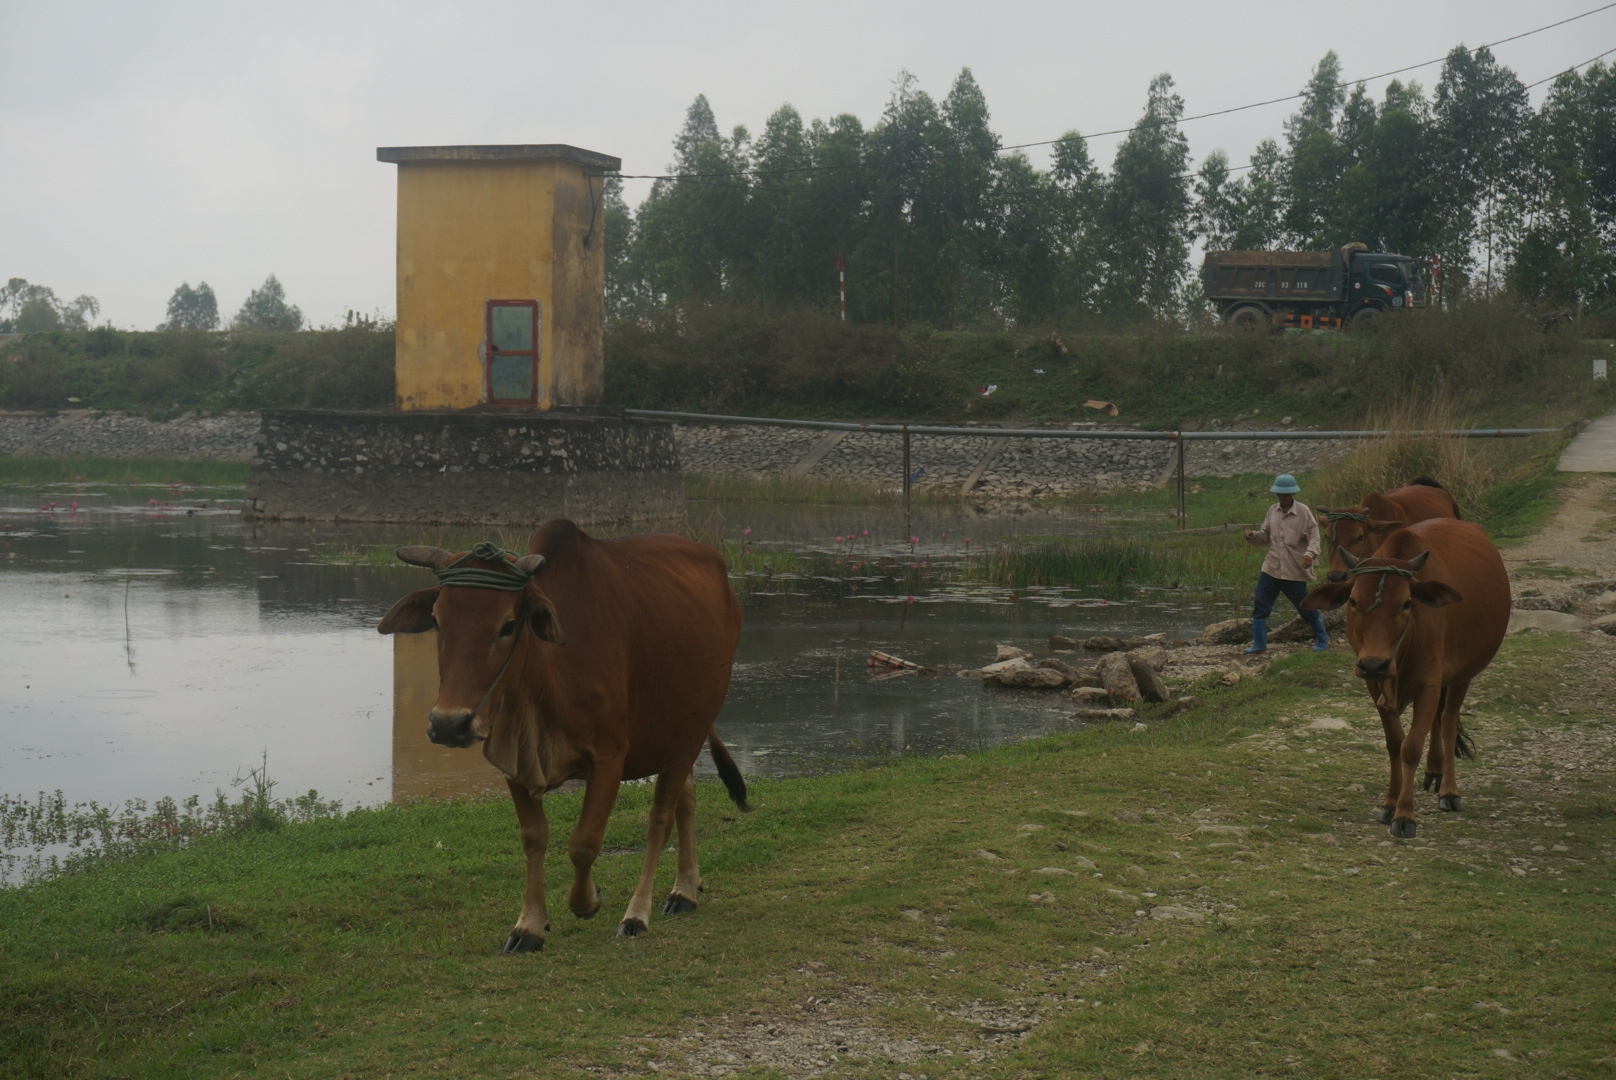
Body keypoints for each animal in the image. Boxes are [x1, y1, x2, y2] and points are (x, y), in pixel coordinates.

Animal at [379, 517, 749, 950]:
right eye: (438, 621)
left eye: (508, 625)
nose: (448, 724)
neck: (548, 673)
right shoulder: (513, 760)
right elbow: (534, 837)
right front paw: (529, 925)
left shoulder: (609, 757)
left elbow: (584, 844)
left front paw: (588, 901)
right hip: (674, 735)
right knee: (685, 801)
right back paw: (685, 889)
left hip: (691, 731)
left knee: (660, 818)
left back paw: (638, 913)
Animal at [1292, 517, 1506, 840]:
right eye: (1353, 601)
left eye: (1407, 603)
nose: (1374, 663)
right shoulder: (1374, 685)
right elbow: (1395, 743)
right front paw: (1389, 804)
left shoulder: (1428, 683)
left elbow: (1411, 747)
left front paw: (1405, 815)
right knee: (1438, 719)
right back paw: (1434, 770)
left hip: (1462, 672)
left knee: (1448, 720)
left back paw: (1449, 790)